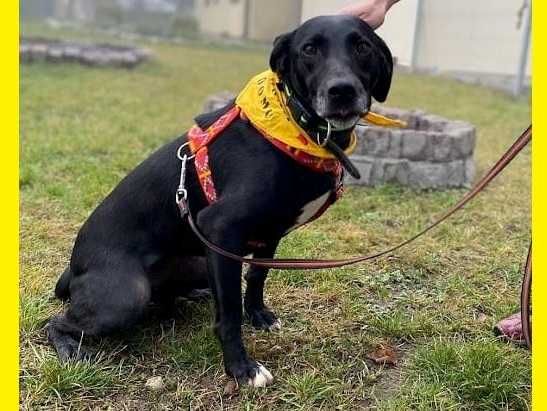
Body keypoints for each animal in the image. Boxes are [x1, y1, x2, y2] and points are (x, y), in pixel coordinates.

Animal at [47, 15, 393, 387]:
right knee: (56, 322)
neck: (297, 128)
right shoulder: (221, 227)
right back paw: (70, 349)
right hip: (126, 296)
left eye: (363, 47)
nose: (342, 91)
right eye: (309, 49)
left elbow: (256, 277)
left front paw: (258, 315)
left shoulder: (268, 233)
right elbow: (228, 313)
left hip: (199, 264)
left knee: (168, 296)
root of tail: (73, 269)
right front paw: (241, 368)